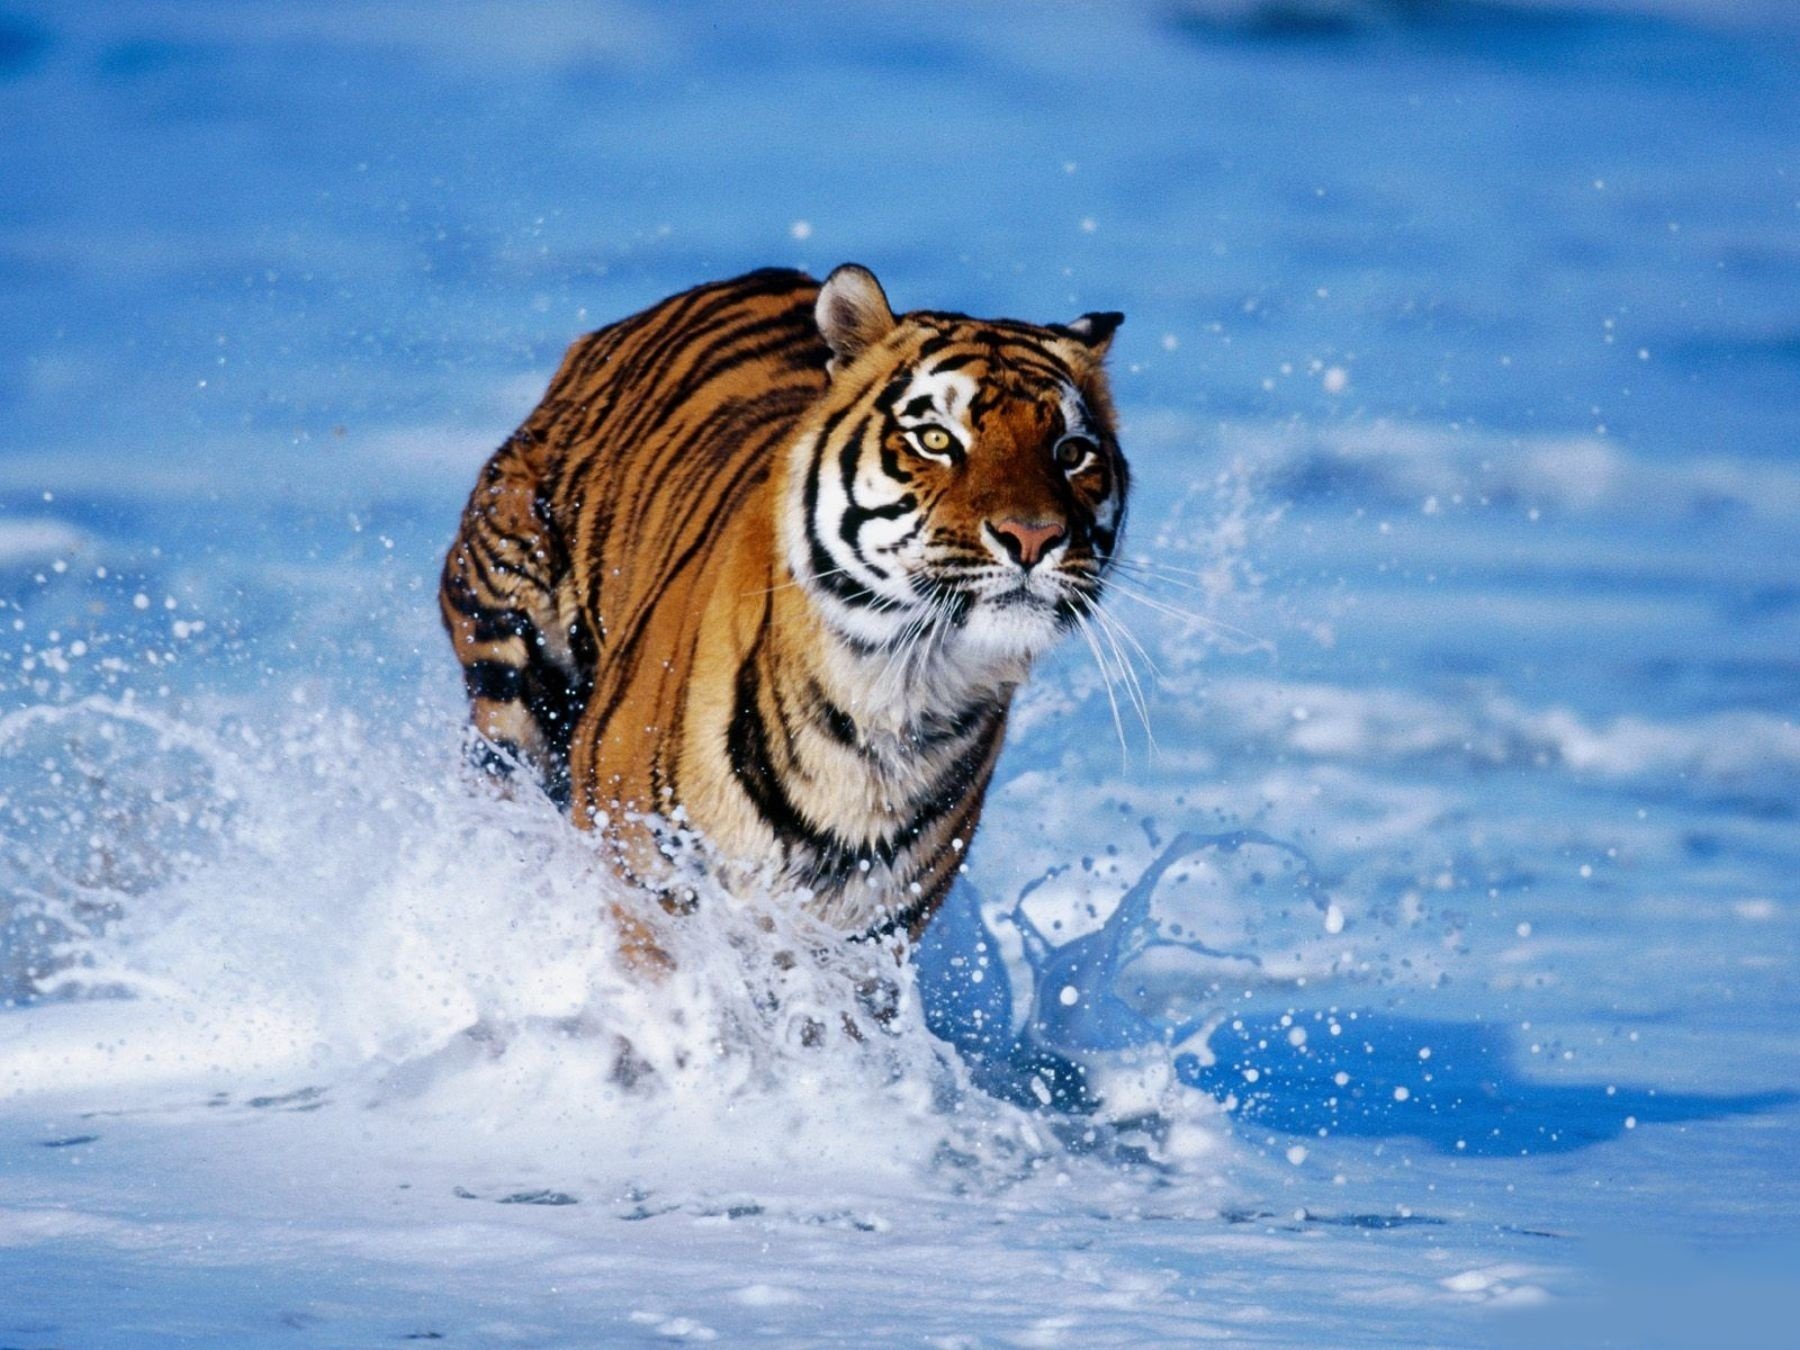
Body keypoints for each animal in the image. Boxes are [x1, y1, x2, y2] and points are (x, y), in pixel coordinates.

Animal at [439, 264, 1126, 946]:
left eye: (1071, 452)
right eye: (935, 439)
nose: (1033, 537)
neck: (896, 696)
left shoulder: (869, 937)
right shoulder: (643, 879)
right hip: (511, 671)